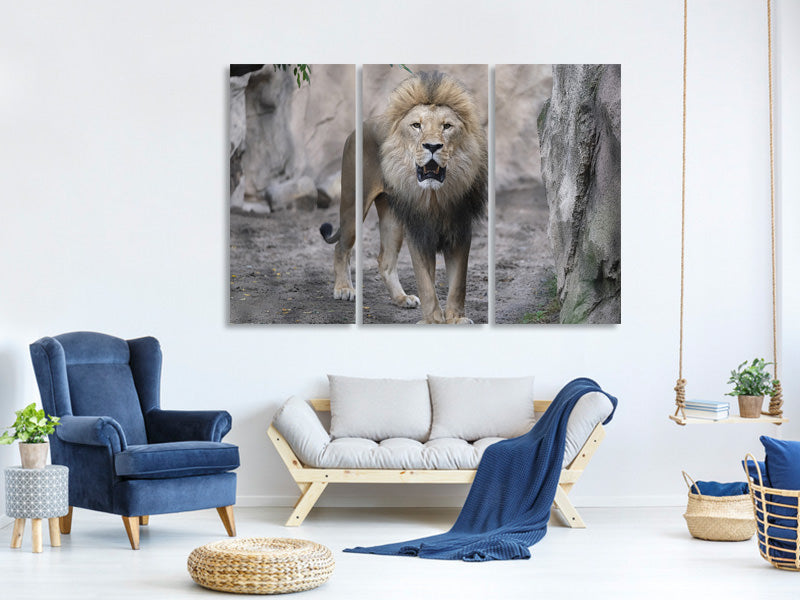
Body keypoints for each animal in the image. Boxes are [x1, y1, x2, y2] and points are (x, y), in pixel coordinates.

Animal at [320, 71, 487, 324]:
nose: (432, 146)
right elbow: (426, 283)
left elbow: (458, 283)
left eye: (447, 126)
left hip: (393, 217)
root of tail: (360, 127)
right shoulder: (418, 233)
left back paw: (401, 298)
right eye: (416, 125)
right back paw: (343, 289)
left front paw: (456, 319)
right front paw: (434, 320)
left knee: (385, 260)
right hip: (353, 204)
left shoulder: (460, 231)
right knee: (341, 247)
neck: (434, 197)